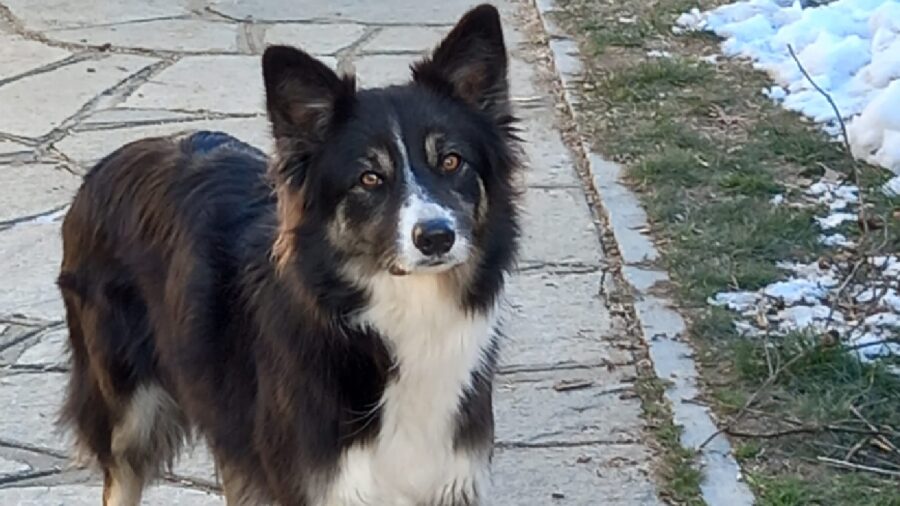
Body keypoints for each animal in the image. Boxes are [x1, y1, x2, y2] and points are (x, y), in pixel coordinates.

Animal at [56, 4, 520, 506]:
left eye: (451, 161)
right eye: (369, 178)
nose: (435, 237)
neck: (397, 319)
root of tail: (103, 167)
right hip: (128, 413)